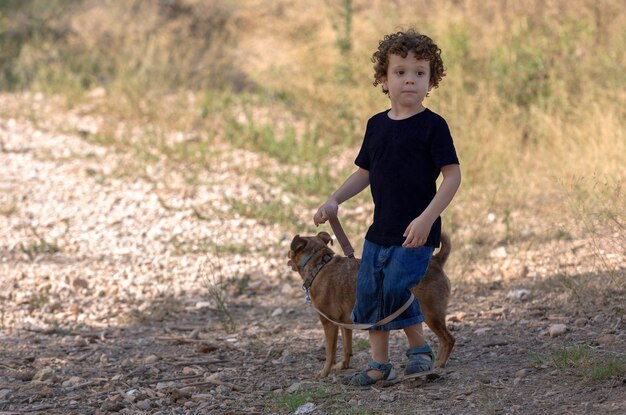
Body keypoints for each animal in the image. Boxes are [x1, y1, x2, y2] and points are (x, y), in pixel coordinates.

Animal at [288, 232, 454, 378]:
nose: (287, 254)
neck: (319, 265)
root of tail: (436, 261)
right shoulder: (345, 324)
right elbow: (347, 348)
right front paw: (344, 365)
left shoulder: (329, 324)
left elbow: (330, 353)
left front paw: (324, 373)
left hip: (430, 315)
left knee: (448, 339)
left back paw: (440, 362)